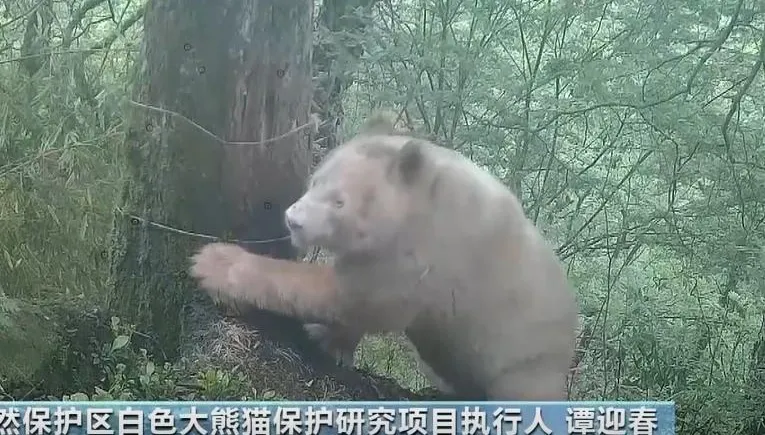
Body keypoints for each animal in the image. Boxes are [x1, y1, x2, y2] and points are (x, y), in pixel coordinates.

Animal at [190, 114, 579, 400]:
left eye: (339, 201)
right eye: (315, 180)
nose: (293, 220)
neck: (425, 192)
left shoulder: (429, 250)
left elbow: (354, 295)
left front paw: (214, 265)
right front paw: (333, 342)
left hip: (526, 355)